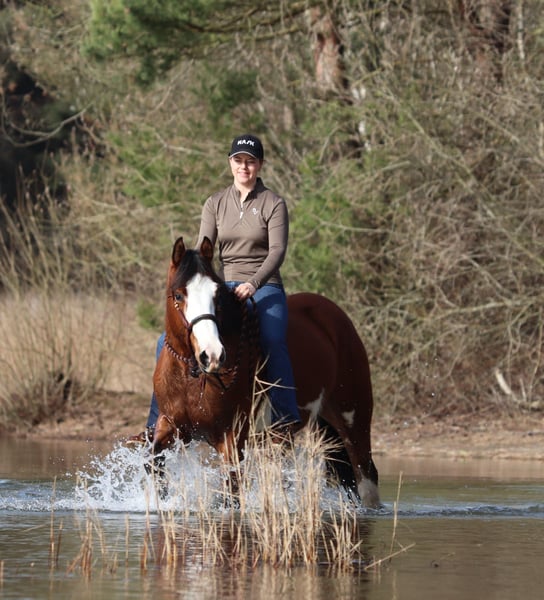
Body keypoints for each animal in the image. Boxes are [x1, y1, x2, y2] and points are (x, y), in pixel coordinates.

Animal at [151, 236, 380, 508]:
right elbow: (154, 462)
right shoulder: (171, 425)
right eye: (178, 294)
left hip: (353, 419)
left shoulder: (231, 439)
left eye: (216, 295)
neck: (192, 377)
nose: (212, 355)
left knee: (366, 475)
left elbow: (231, 493)